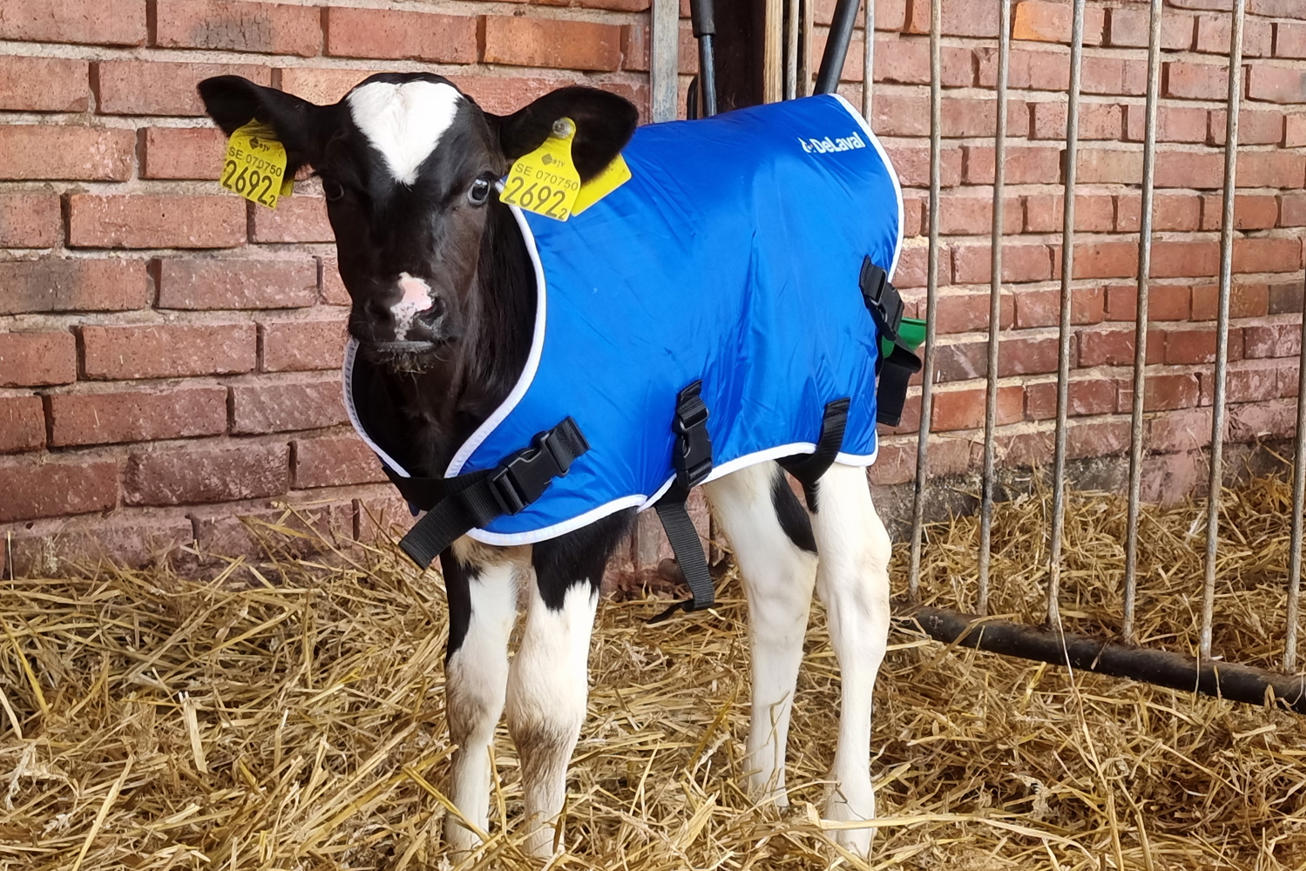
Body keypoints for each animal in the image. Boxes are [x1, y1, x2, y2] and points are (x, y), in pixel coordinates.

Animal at [197, 72, 896, 859]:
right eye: (339, 186)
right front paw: (463, 847)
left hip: (834, 405)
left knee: (859, 581)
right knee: (780, 570)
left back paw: (847, 819)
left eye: (481, 187)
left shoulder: (587, 516)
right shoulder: (464, 528)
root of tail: (812, 113)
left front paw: (536, 850)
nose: (406, 311)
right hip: (742, 418)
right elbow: (470, 695)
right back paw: (763, 794)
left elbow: (543, 710)